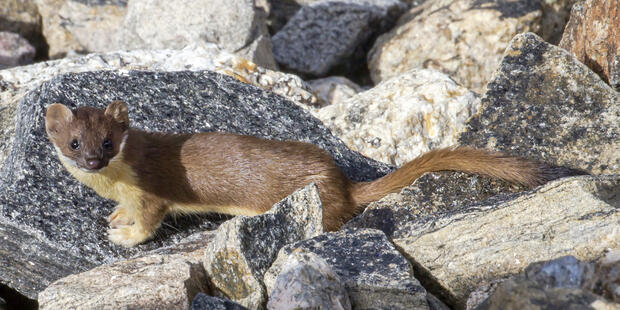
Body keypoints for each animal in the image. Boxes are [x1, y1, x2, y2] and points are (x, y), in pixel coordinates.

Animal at [46, 101, 580, 247]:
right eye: (74, 143)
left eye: (108, 143)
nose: (91, 160)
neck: (112, 181)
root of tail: (341, 180)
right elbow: (123, 210)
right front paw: (115, 218)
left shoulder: (152, 193)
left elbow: (150, 221)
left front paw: (124, 235)